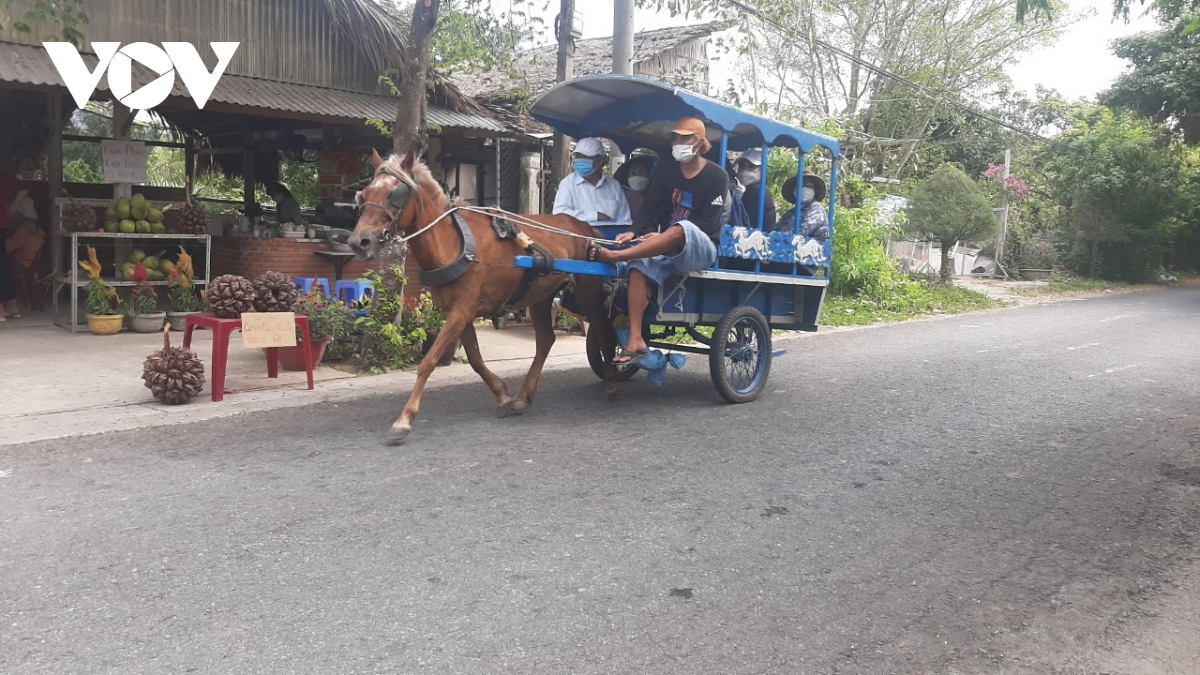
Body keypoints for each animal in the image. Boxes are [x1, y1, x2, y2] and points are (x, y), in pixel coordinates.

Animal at [350, 148, 619, 439]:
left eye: (395, 194)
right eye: (364, 194)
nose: (358, 242)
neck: (454, 243)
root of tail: (582, 226)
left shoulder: (462, 310)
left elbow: (429, 361)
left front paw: (404, 418)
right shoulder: (460, 311)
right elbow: (476, 359)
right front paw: (502, 396)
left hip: (587, 289)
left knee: (601, 328)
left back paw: (611, 381)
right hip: (540, 295)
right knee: (546, 340)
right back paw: (523, 396)